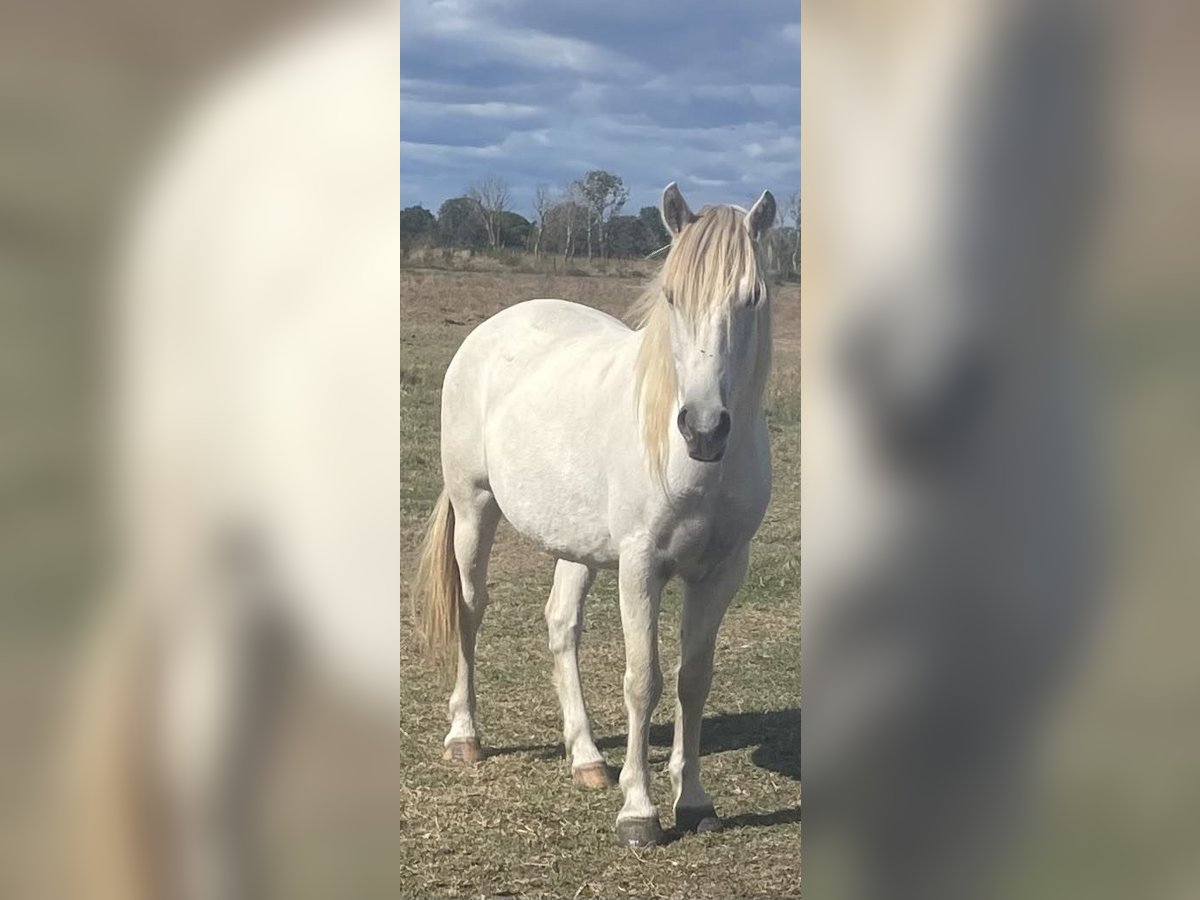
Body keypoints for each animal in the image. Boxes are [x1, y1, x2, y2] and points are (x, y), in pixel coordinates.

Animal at [412, 187, 777, 849]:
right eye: (671, 296)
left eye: (752, 297)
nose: (703, 429)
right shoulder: (640, 566)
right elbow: (643, 680)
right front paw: (639, 813)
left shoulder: (722, 571)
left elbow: (693, 679)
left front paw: (694, 801)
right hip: (475, 508)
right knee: (471, 610)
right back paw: (465, 737)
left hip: (573, 544)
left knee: (561, 625)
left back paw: (585, 757)